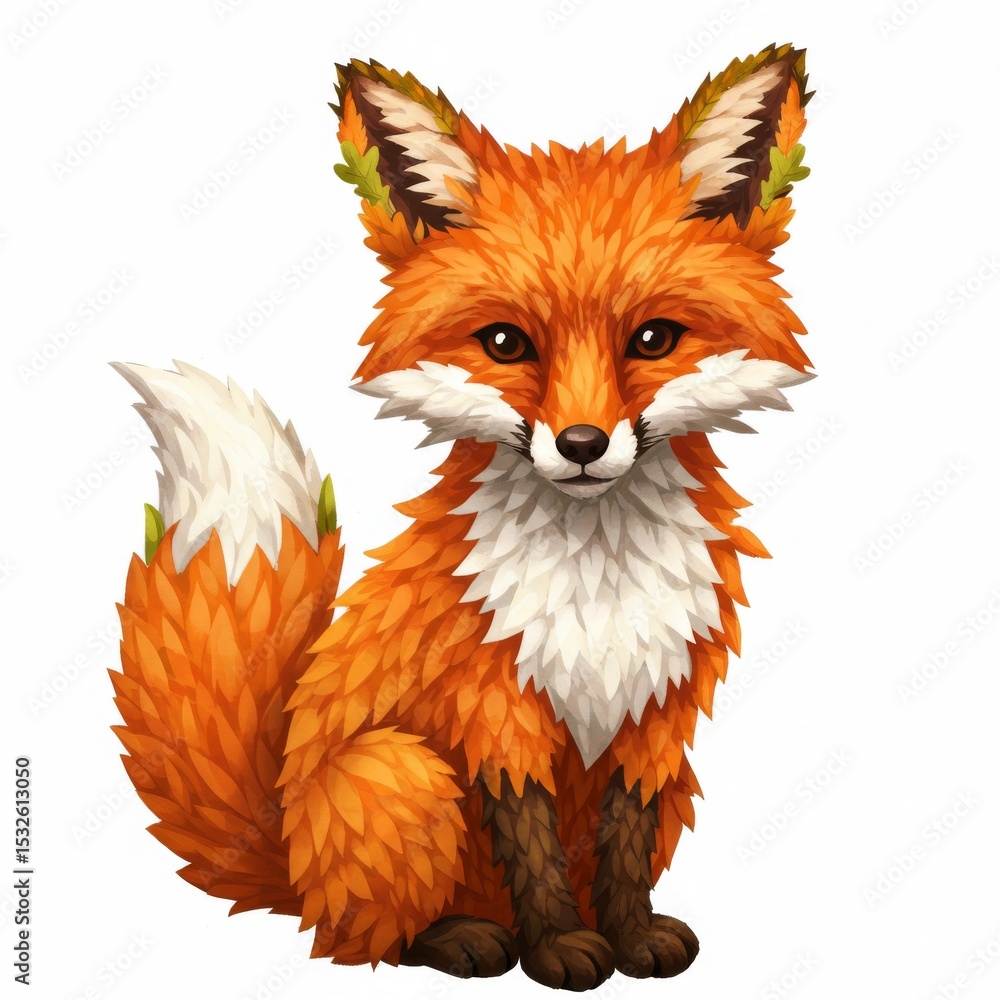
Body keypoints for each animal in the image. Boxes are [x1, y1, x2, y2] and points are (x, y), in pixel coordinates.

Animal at [111, 44, 814, 991]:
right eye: (506, 344)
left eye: (655, 340)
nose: (583, 444)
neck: (596, 581)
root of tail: (288, 845)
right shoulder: (489, 701)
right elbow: (532, 843)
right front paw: (559, 950)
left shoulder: (659, 716)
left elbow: (623, 845)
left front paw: (630, 939)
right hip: (401, 771)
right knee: (364, 943)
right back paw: (463, 939)